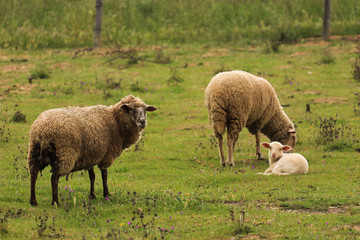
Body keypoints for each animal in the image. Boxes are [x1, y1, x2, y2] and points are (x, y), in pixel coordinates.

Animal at [27, 94, 157, 205]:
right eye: (130, 109)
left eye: (145, 110)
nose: (142, 122)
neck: (115, 121)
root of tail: (42, 130)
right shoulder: (106, 155)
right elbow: (104, 175)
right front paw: (106, 194)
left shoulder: (90, 155)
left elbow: (92, 176)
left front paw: (92, 195)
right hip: (64, 154)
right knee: (54, 178)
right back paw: (55, 202)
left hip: (34, 152)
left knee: (33, 174)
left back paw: (33, 201)